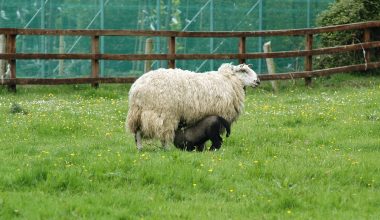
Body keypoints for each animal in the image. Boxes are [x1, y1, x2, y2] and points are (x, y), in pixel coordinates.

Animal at [126, 62, 260, 150]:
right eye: (244, 71)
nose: (258, 81)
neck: (230, 81)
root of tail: (136, 88)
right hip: (162, 113)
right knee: (162, 133)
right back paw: (166, 149)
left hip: (139, 113)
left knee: (138, 131)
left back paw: (140, 148)